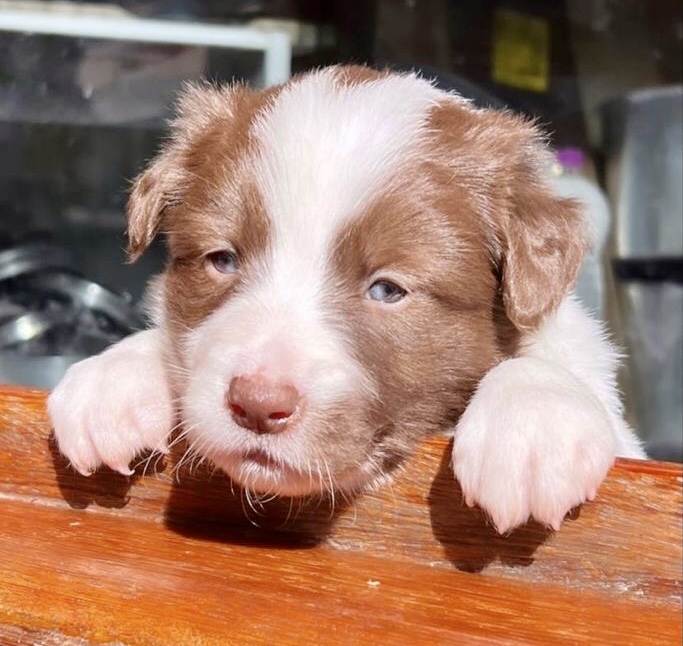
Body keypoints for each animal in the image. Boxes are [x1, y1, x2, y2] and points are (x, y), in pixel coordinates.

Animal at [48, 66, 648, 536]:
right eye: (222, 259)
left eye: (388, 289)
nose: (258, 404)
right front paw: (115, 378)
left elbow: (539, 365)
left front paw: (531, 425)